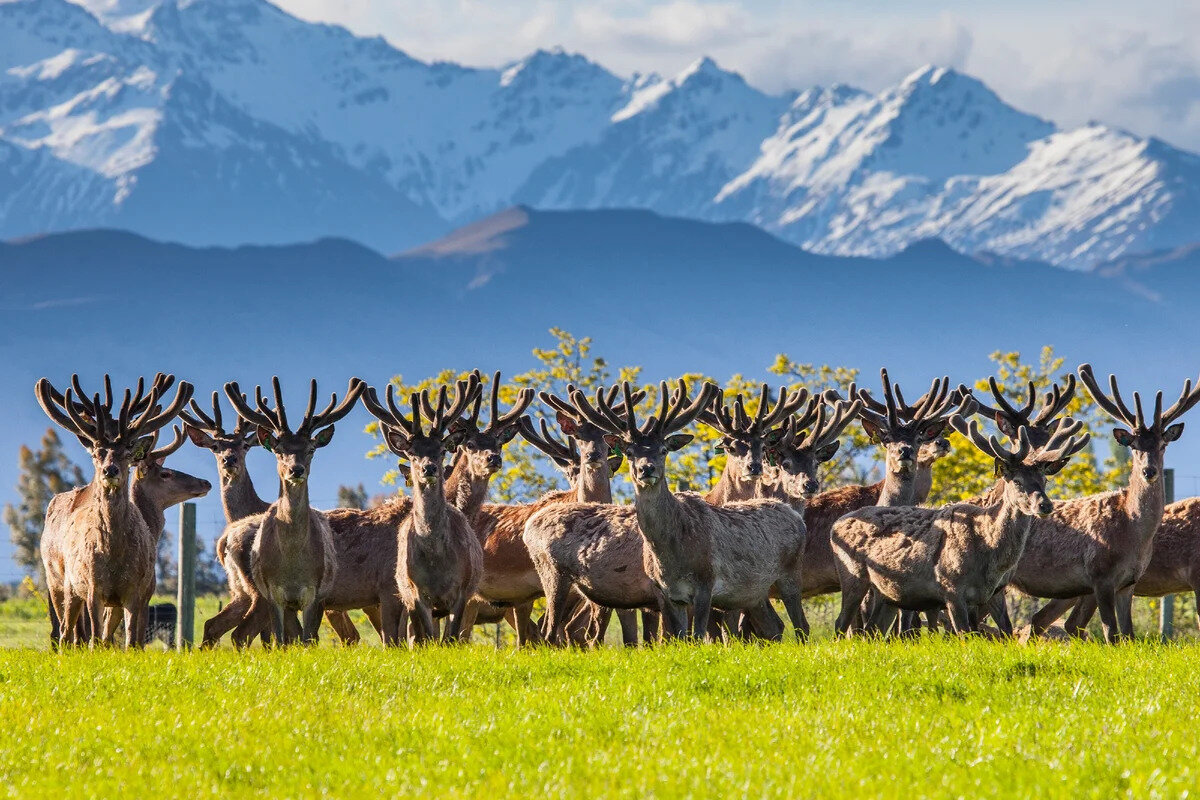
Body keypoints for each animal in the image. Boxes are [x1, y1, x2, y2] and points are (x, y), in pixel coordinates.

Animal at [36, 371, 192, 647]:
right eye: (97, 453)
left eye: (128, 451)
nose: (110, 470)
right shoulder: (94, 589)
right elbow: (95, 639)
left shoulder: (135, 591)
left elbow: (130, 641)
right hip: (60, 583)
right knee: (65, 632)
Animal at [222, 376, 360, 642]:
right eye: (279, 450)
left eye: (311, 449)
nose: (296, 470)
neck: (293, 565)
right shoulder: (272, 594)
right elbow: (280, 640)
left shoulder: (315, 594)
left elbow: (307, 640)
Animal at [830, 412, 1094, 638]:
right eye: (1017, 481)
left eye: (1044, 480)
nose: (1045, 505)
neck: (988, 552)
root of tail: (835, 526)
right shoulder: (951, 588)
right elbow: (964, 635)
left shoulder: (988, 594)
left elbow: (999, 633)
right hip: (853, 575)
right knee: (841, 623)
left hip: (888, 593)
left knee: (872, 630)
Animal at [1003, 367, 1200, 642]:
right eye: (1133, 445)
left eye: (1163, 445)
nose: (1149, 471)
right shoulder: (1102, 577)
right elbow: (1112, 634)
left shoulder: (1128, 583)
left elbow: (1128, 634)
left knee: (1041, 621)